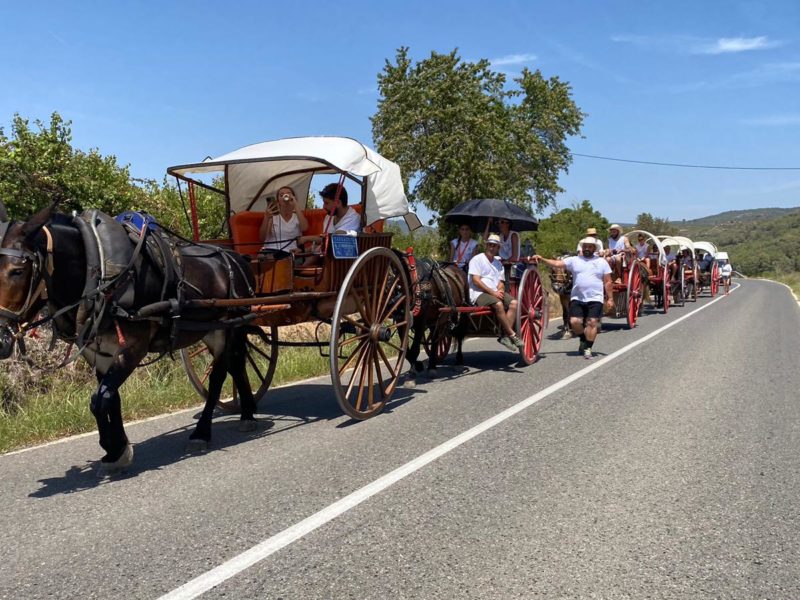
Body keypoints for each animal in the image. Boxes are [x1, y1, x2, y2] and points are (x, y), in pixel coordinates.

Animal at [0, 202, 260, 474]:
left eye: (17, 271)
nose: (1, 340)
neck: (100, 271)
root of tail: (236, 258)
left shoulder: (133, 348)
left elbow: (99, 399)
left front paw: (115, 449)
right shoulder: (98, 352)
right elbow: (110, 398)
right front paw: (116, 449)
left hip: (230, 326)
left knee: (219, 375)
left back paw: (203, 432)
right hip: (214, 329)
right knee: (236, 364)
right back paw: (247, 412)